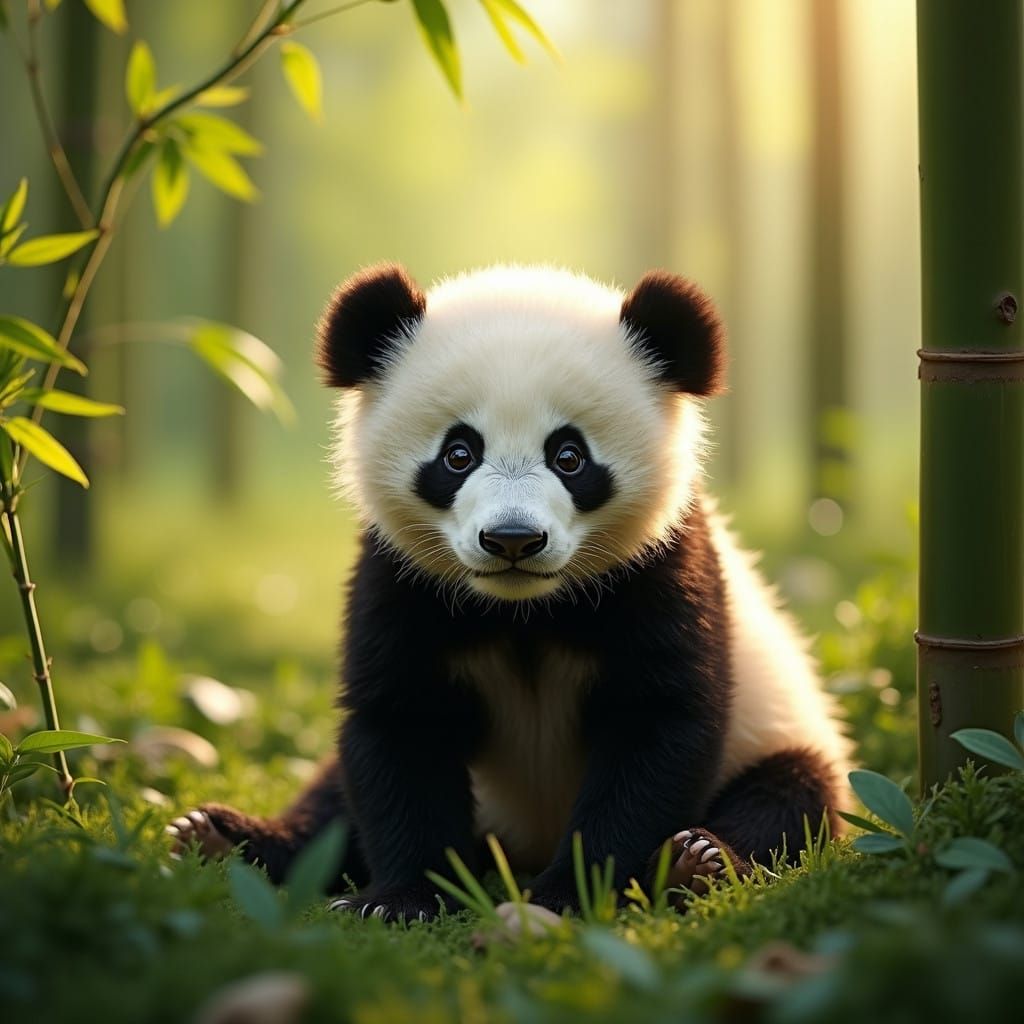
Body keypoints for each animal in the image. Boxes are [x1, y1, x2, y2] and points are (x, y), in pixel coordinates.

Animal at [168, 263, 853, 921]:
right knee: (331, 799)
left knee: (790, 795)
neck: (524, 609)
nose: (513, 539)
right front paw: (398, 900)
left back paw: (698, 860)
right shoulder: (401, 578)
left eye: (570, 456)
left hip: (780, 733)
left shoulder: (659, 570)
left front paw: (570, 894)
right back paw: (218, 836)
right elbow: (403, 727)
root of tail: (521, 845)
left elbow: (657, 725)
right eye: (459, 454)